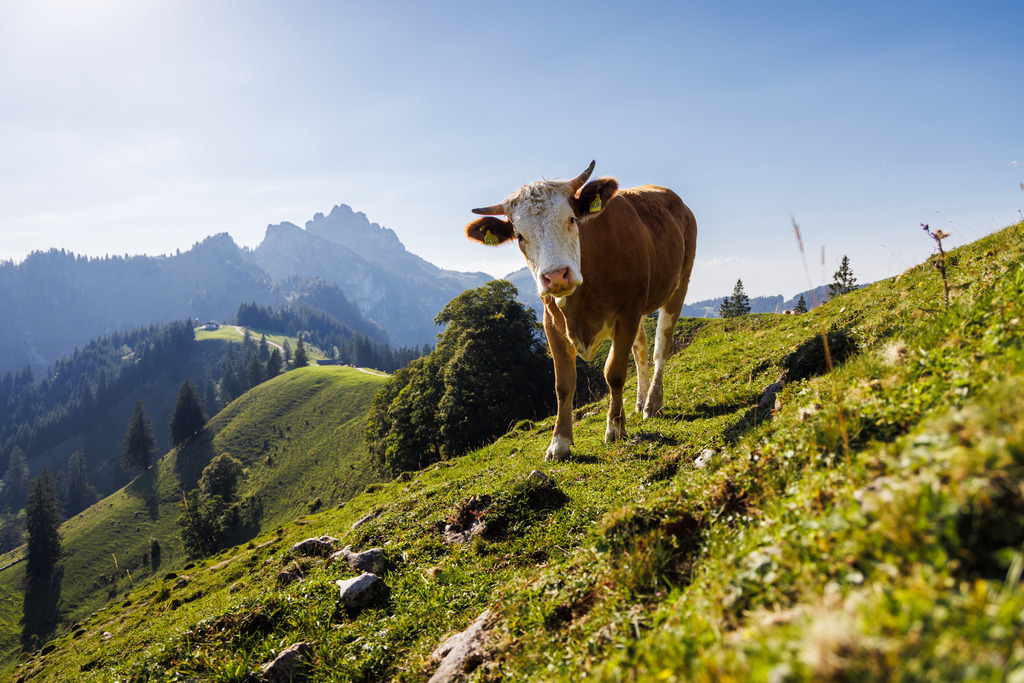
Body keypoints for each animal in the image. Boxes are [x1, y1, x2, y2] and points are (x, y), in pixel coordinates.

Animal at [465, 161, 697, 461]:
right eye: (519, 235)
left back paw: (652, 403)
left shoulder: (627, 311)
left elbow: (614, 372)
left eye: (572, 219)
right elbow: (563, 384)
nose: (556, 276)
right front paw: (559, 442)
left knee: (661, 347)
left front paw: (615, 428)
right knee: (641, 349)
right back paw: (640, 400)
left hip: (680, 282)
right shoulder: (551, 323)